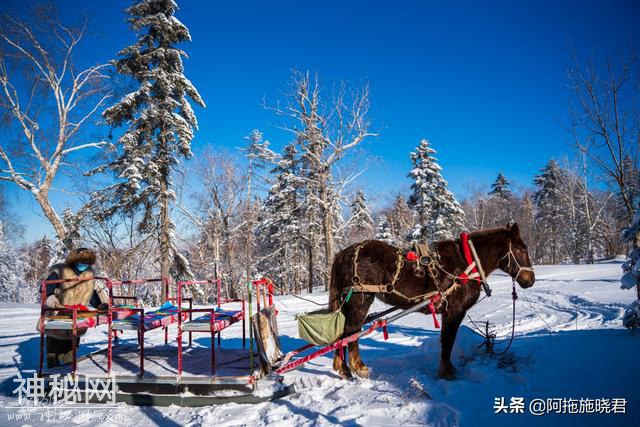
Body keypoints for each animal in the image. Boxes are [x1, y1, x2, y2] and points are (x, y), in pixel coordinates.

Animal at [330, 222, 536, 380]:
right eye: (520, 249)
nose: (531, 280)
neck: (468, 262)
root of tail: (342, 254)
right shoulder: (454, 310)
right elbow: (448, 341)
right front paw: (447, 372)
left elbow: (446, 340)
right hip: (360, 299)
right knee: (351, 333)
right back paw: (357, 367)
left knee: (341, 335)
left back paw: (343, 368)